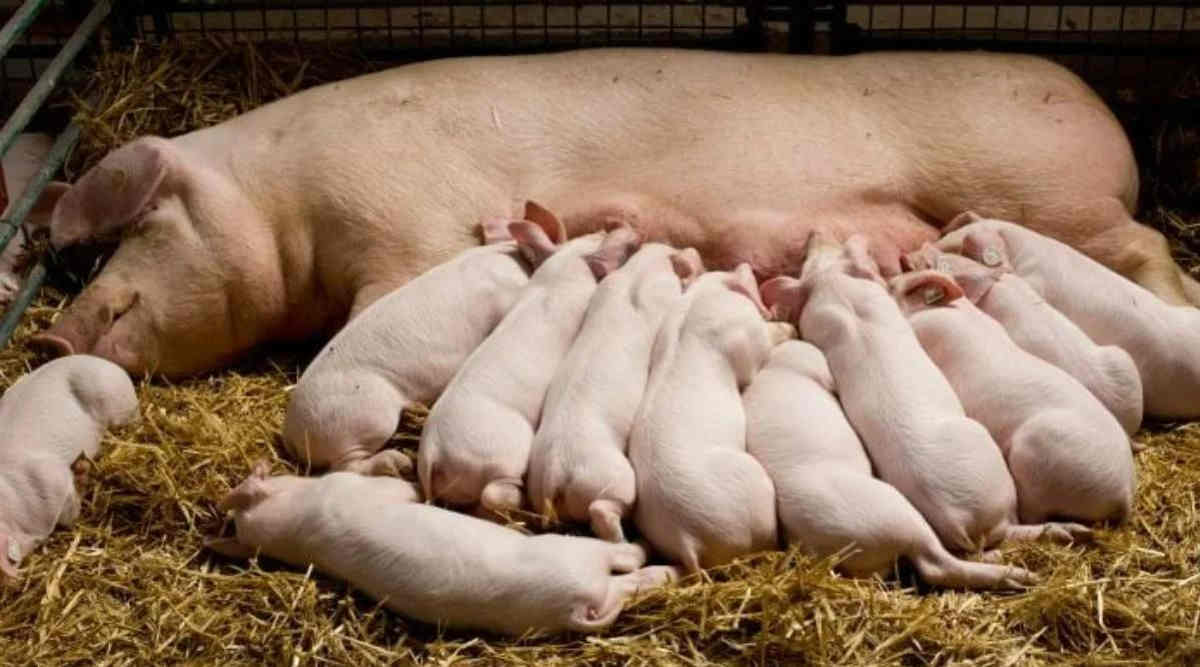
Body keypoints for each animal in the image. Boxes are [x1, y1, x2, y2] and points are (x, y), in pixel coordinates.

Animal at [29, 50, 1192, 378]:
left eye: (147, 223)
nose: (48, 333)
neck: (285, 209)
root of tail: (1103, 109)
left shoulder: (401, 218)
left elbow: (384, 306)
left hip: (1047, 191)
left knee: (1143, 243)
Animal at [207, 465, 679, 636]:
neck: (297, 528)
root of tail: (574, 608)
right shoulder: (356, 488)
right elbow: (400, 490)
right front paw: (416, 485)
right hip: (575, 554)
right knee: (626, 565)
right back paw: (658, 558)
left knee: (624, 587)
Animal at [760, 234, 1091, 554]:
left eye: (811, 260)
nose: (813, 233)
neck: (842, 300)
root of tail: (956, 520)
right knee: (1008, 530)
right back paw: (1073, 532)